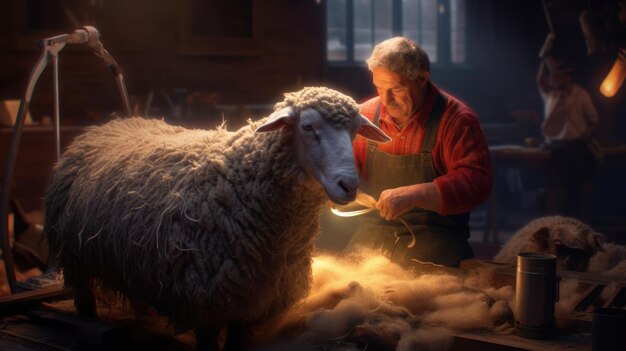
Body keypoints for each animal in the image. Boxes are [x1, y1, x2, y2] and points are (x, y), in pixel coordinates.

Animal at [42, 86, 390, 351]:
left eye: (355, 131)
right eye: (308, 127)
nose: (349, 185)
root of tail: (107, 126)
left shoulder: (250, 296)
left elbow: (237, 340)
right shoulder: (206, 296)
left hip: (129, 256)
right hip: (76, 256)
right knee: (84, 297)